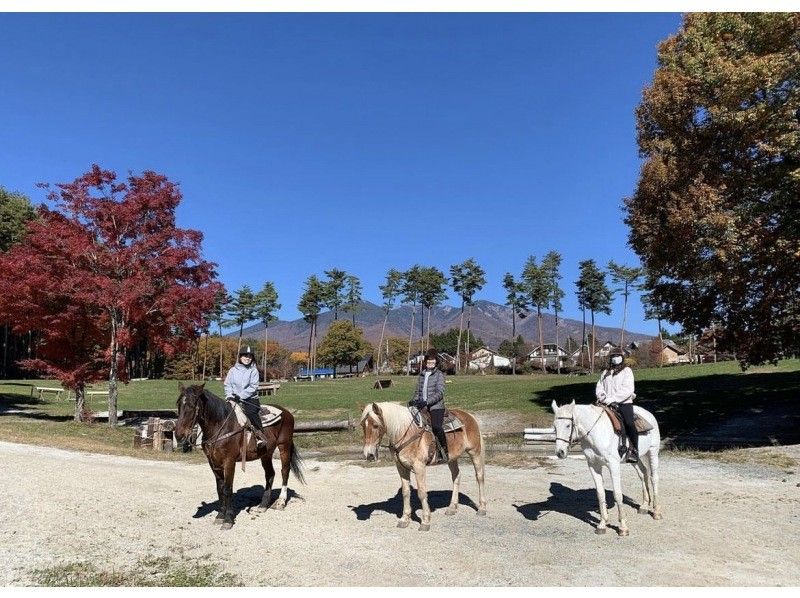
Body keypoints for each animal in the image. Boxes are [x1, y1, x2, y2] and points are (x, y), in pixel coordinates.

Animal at [175, 384, 306, 528]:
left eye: (192, 406)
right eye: (179, 404)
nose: (178, 435)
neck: (221, 426)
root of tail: (286, 412)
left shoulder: (229, 461)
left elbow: (228, 489)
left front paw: (228, 519)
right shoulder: (213, 462)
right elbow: (220, 488)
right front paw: (220, 516)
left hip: (284, 446)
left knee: (285, 471)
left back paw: (281, 502)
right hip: (266, 453)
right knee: (270, 474)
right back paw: (262, 506)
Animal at [362, 404, 488, 536]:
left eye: (375, 425)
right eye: (362, 425)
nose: (369, 455)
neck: (406, 433)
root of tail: (469, 416)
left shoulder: (419, 467)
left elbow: (422, 493)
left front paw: (425, 521)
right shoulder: (401, 467)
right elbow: (405, 492)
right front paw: (404, 519)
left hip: (475, 452)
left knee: (479, 477)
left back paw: (482, 508)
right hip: (452, 458)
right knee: (456, 476)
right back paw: (452, 508)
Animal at [552, 400, 664, 536]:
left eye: (568, 425)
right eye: (554, 426)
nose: (560, 452)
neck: (596, 432)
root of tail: (649, 414)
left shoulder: (613, 465)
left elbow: (617, 493)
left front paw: (623, 527)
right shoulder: (593, 465)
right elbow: (600, 494)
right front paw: (602, 524)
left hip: (653, 451)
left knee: (654, 478)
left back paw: (656, 512)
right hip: (634, 460)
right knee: (643, 473)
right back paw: (644, 506)